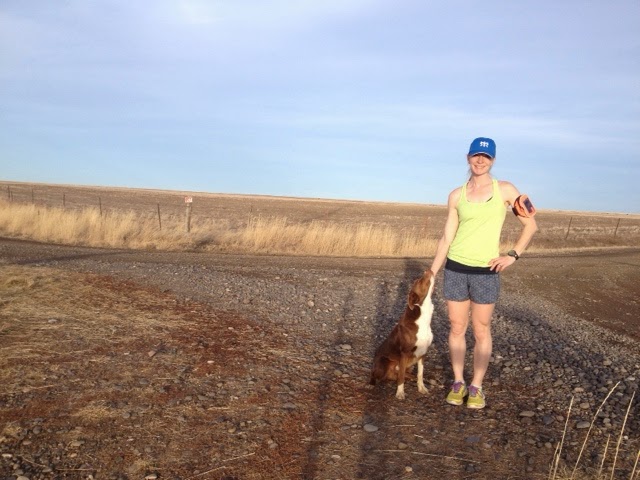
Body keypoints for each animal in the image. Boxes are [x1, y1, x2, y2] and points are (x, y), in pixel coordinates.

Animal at [369, 269, 435, 399]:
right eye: (419, 281)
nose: (428, 270)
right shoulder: (404, 353)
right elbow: (401, 379)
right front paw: (400, 393)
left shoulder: (423, 353)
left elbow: (420, 374)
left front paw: (421, 388)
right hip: (384, 361)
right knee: (375, 374)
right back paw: (372, 382)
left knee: (405, 374)